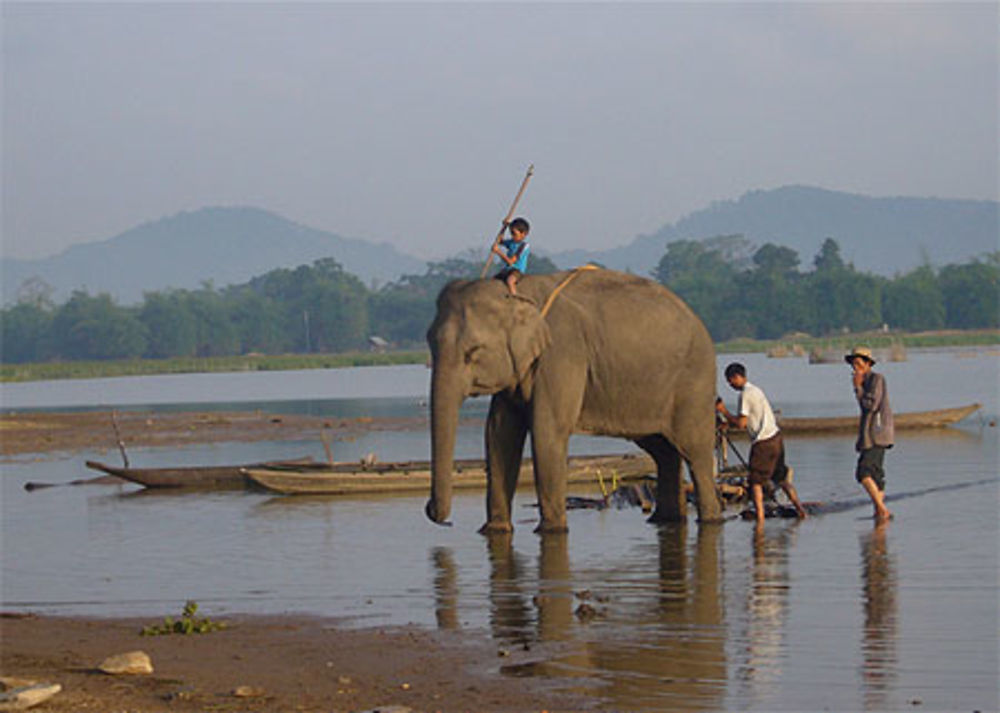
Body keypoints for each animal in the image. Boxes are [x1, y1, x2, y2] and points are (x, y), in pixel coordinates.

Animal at [426, 268, 724, 536]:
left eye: (472, 352)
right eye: (429, 344)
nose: (434, 513)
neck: (519, 294)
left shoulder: (562, 354)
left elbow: (547, 432)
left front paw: (551, 531)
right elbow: (499, 435)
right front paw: (493, 531)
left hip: (694, 383)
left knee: (695, 452)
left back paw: (710, 519)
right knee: (663, 451)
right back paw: (665, 520)